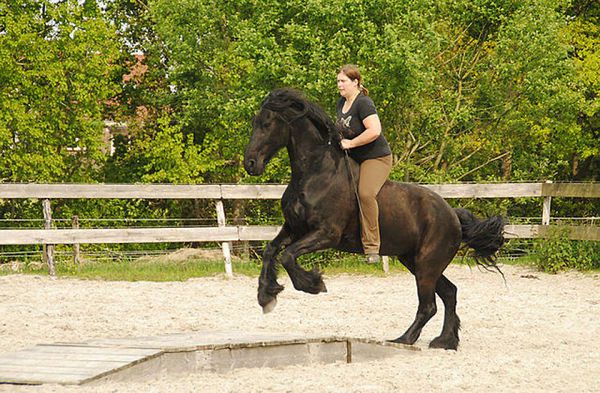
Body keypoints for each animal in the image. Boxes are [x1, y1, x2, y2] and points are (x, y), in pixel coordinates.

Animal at [241, 89, 504, 350]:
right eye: (254, 122)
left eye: (267, 123)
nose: (250, 164)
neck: (315, 174)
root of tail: (452, 215)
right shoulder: (293, 228)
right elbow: (271, 250)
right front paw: (266, 296)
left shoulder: (326, 234)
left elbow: (287, 255)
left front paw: (314, 284)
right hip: (415, 261)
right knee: (449, 293)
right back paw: (444, 341)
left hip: (427, 264)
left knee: (429, 305)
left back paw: (404, 339)